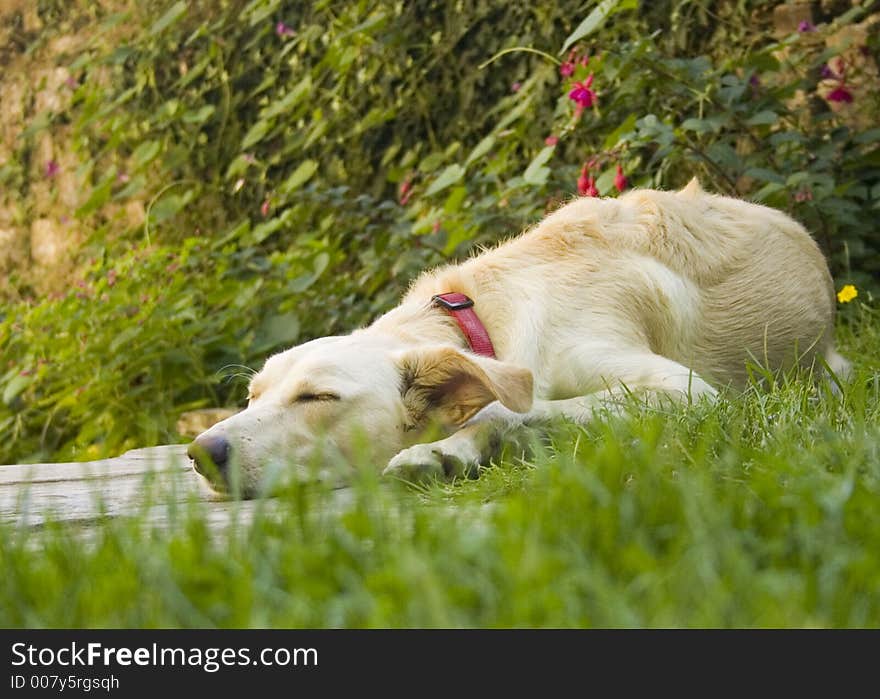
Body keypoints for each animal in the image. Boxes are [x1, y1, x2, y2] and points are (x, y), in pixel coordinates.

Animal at [189, 180, 848, 498]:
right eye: (252, 397)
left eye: (317, 399)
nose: (201, 452)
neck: (485, 320)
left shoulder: (684, 391)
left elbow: (508, 409)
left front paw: (443, 448)